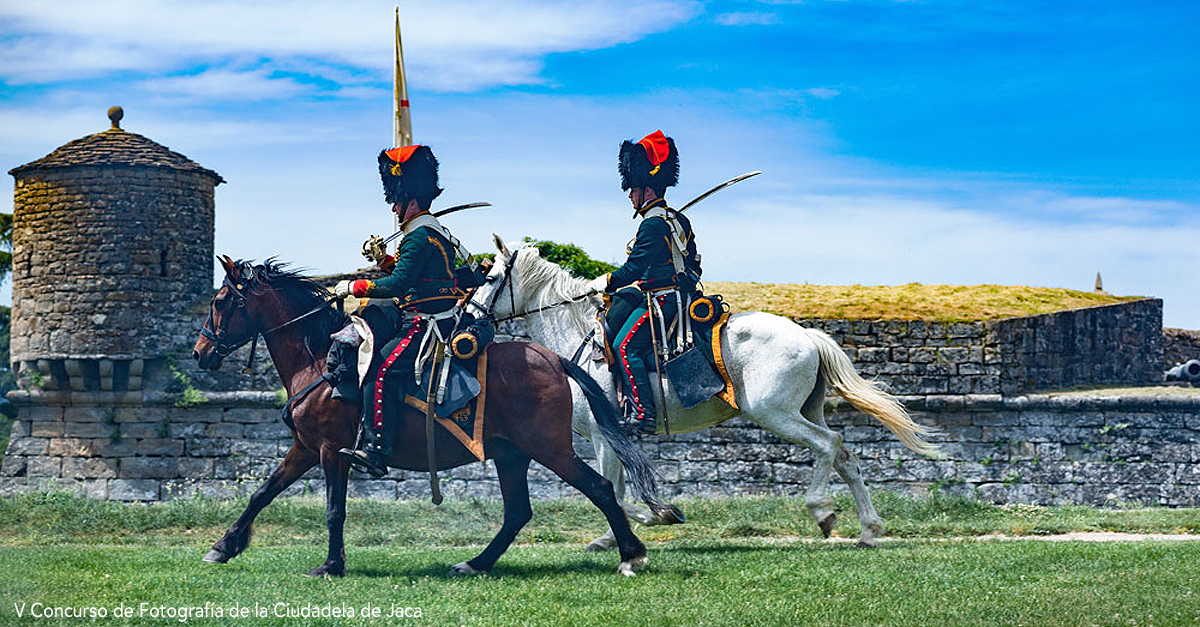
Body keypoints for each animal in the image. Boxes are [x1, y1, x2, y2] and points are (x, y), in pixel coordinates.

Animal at [192, 257, 672, 576]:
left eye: (220, 302)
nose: (200, 353)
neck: (318, 361)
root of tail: (552, 359)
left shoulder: (331, 451)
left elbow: (333, 510)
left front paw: (330, 565)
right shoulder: (305, 449)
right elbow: (261, 494)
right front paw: (223, 546)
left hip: (549, 449)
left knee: (600, 488)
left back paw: (630, 555)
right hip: (511, 454)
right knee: (518, 512)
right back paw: (476, 563)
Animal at [468, 236, 936, 550]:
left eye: (489, 276)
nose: (468, 316)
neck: (578, 340)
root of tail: (807, 335)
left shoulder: (604, 434)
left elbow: (613, 490)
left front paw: (650, 518)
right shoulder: (609, 437)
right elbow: (614, 488)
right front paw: (632, 527)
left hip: (775, 414)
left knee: (828, 445)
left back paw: (822, 510)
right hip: (806, 411)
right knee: (846, 456)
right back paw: (869, 530)